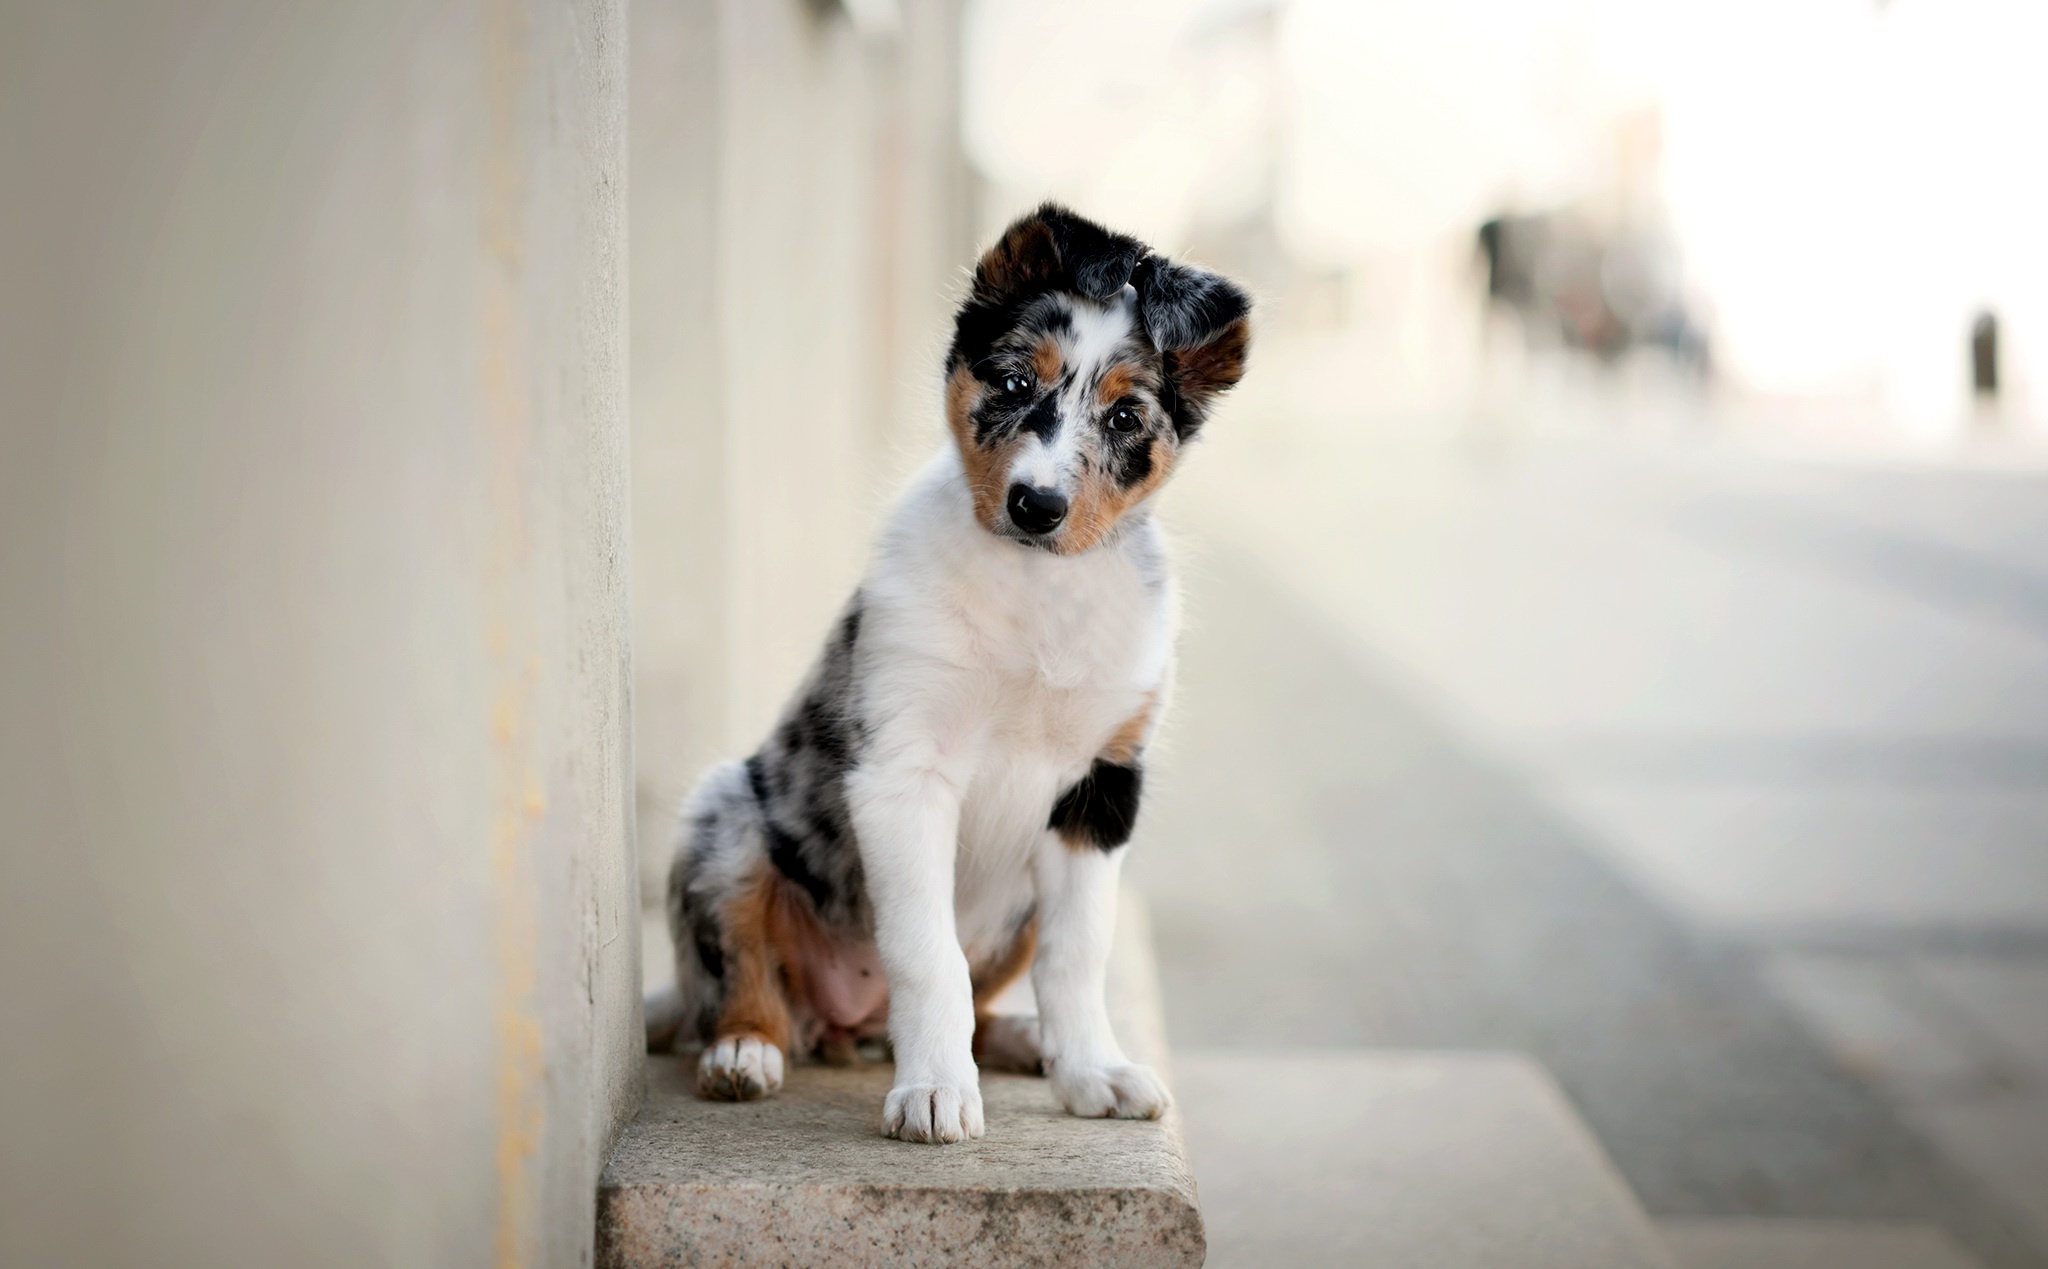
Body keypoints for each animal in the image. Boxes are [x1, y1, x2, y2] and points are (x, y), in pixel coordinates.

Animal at [643, 203, 1245, 1146]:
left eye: (1124, 418)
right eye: (1013, 382)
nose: (1037, 506)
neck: (1036, 589)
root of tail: (845, 1024)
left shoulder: (1102, 791)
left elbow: (1079, 954)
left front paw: (1090, 1070)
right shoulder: (905, 771)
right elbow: (929, 955)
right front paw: (934, 1091)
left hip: (1019, 902)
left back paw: (1024, 1042)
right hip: (725, 816)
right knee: (736, 974)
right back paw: (744, 1051)